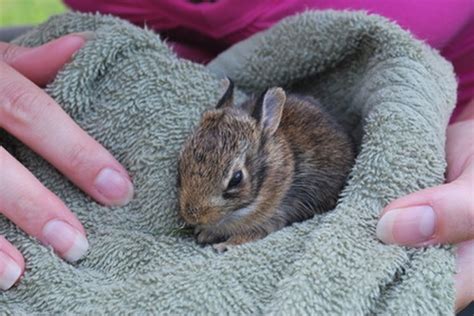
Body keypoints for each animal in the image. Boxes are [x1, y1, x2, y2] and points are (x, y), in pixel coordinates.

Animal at [176, 79, 354, 252]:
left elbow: (251, 234)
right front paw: (204, 233)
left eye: (236, 179)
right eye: (180, 165)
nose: (193, 216)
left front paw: (224, 245)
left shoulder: (276, 215)